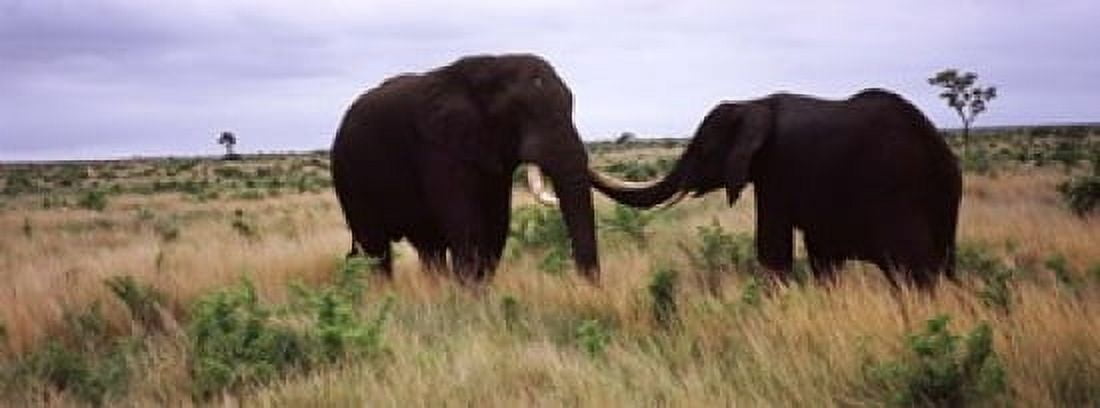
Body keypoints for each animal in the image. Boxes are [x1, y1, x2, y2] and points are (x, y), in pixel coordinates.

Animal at [330, 54, 599, 283]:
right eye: (519, 112)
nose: (583, 287)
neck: (492, 66)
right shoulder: (438, 148)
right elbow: (465, 227)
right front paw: (472, 300)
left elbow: (496, 225)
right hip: (348, 177)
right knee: (377, 248)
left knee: (429, 247)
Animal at [590, 89, 962, 289]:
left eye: (703, 150)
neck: (754, 103)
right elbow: (821, 255)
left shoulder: (778, 169)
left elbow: (773, 248)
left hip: (900, 198)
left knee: (915, 271)